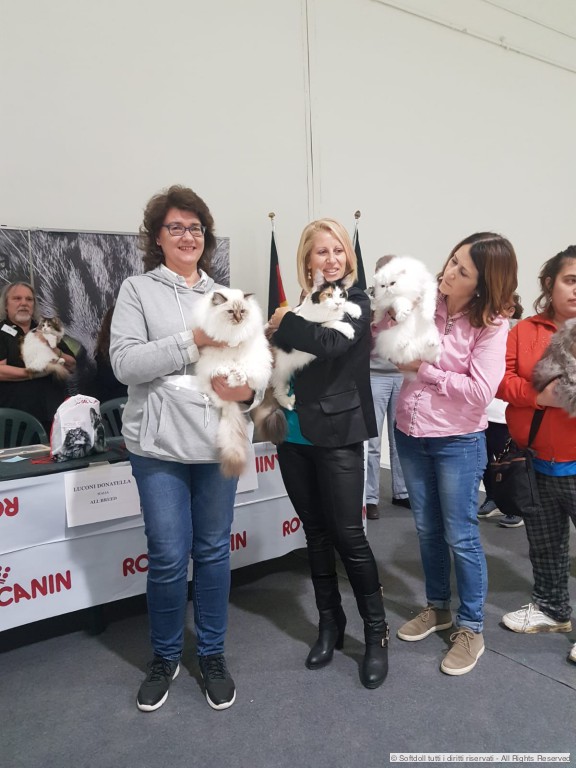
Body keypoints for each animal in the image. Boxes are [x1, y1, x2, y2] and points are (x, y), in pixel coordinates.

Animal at [192, 288, 273, 477]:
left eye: (242, 311)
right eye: (230, 312)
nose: (238, 319)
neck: (231, 330)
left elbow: (239, 343)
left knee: (244, 375)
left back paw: (236, 376)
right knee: (223, 369)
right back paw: (224, 372)